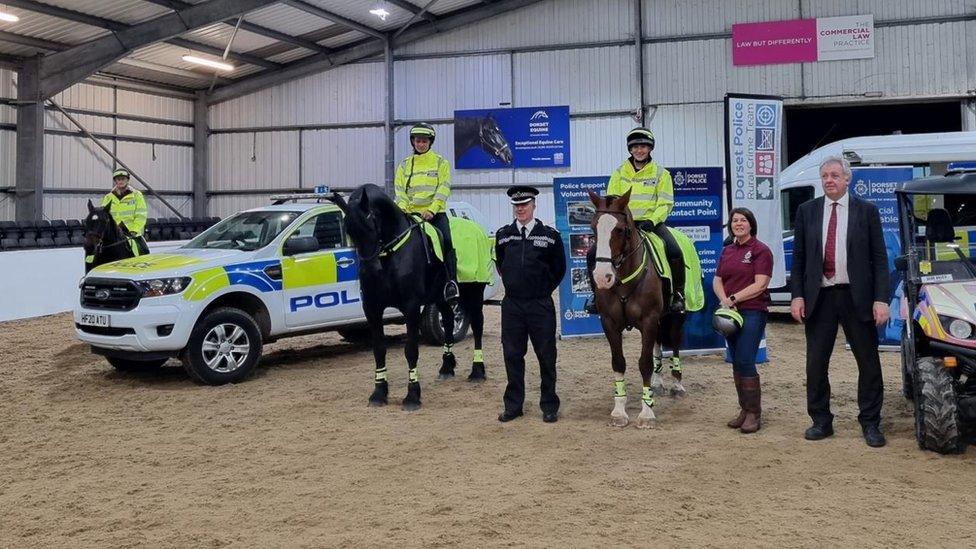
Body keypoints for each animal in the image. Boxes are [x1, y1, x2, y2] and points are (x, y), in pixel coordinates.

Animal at [336, 182, 458, 408]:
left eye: (371, 225)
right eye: (349, 232)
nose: (370, 269)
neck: (390, 255)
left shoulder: (411, 307)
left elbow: (411, 350)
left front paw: (412, 395)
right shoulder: (372, 308)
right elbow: (378, 349)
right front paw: (379, 392)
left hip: (445, 294)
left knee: (449, 320)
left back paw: (447, 367)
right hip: (437, 297)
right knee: (447, 318)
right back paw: (448, 366)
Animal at [588, 188, 688, 428]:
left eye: (620, 230)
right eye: (593, 227)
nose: (602, 277)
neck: (624, 280)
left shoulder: (648, 320)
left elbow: (644, 364)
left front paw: (646, 413)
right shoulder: (610, 323)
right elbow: (618, 362)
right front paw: (619, 411)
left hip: (675, 316)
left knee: (675, 342)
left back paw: (676, 385)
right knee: (659, 346)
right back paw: (659, 383)